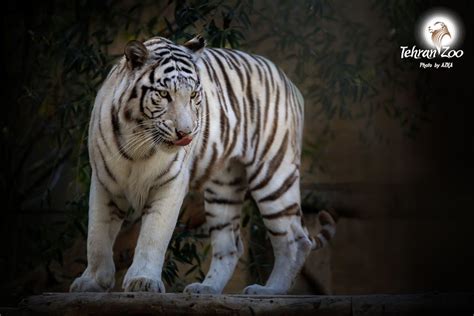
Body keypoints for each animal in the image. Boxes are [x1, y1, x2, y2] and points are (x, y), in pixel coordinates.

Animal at [71, 35, 336, 296]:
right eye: (164, 95)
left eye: (193, 96)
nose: (186, 133)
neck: (139, 143)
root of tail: (285, 77)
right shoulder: (104, 181)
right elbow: (97, 235)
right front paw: (92, 282)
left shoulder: (170, 184)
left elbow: (153, 235)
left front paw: (143, 281)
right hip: (223, 188)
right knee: (231, 246)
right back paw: (206, 288)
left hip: (273, 174)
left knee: (295, 240)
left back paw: (269, 291)